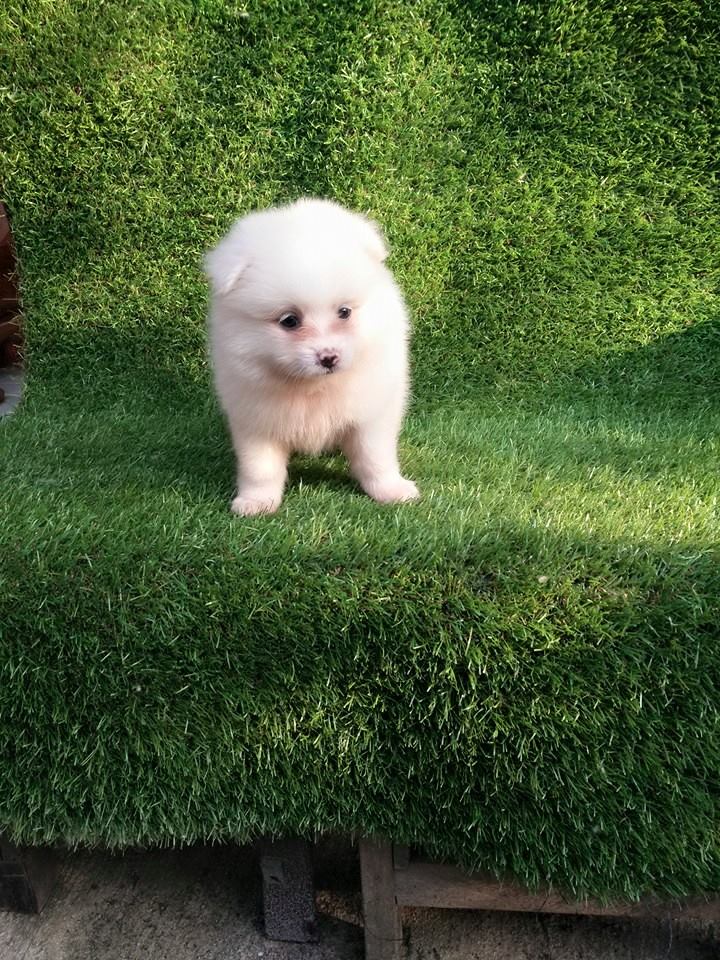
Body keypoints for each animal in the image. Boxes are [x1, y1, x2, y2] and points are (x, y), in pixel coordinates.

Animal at [205, 198, 419, 516]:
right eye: (289, 320)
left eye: (344, 312)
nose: (328, 357)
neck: (312, 388)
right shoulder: (255, 420)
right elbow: (260, 468)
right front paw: (257, 501)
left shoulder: (371, 414)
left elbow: (375, 457)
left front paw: (391, 490)